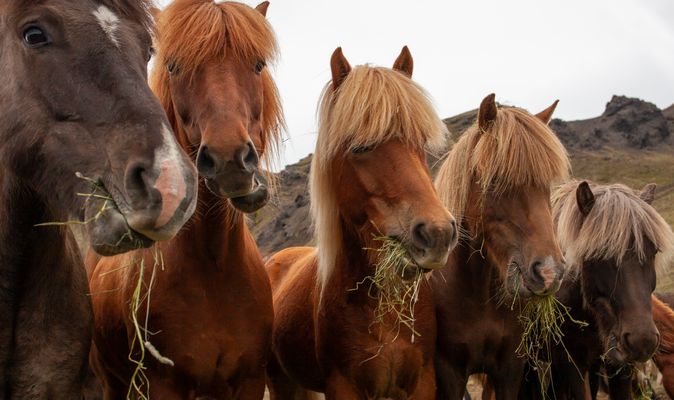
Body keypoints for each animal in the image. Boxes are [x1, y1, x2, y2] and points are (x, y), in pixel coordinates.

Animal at [87, 0, 283, 398]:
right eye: (174, 66)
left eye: (258, 64)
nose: (228, 159)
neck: (215, 265)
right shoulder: (163, 384)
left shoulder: (249, 380)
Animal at [266, 46, 457, 399]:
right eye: (360, 147)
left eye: (421, 143)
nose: (437, 232)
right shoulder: (343, 386)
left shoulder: (422, 382)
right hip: (280, 381)